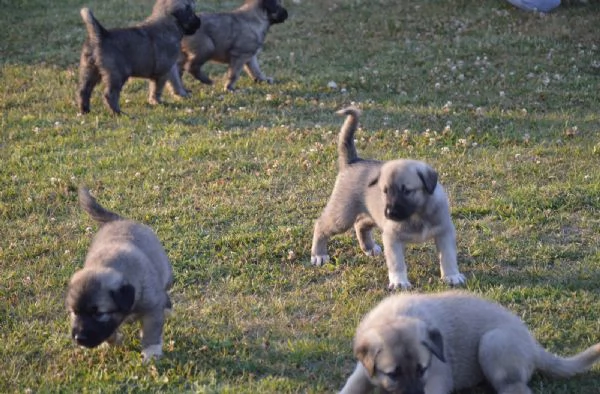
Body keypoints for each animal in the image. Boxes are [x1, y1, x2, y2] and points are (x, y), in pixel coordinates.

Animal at [66, 186, 173, 362]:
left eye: (98, 313)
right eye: (75, 312)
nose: (79, 338)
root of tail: (118, 221)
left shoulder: (151, 309)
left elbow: (151, 332)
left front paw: (151, 352)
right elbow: (109, 333)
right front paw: (113, 341)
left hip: (166, 274)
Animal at [312, 107, 466, 290]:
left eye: (406, 191)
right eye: (385, 191)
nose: (390, 213)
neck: (417, 214)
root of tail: (353, 161)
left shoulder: (444, 232)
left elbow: (448, 257)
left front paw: (452, 276)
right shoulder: (392, 237)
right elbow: (396, 263)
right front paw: (399, 281)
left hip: (372, 215)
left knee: (360, 224)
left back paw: (369, 248)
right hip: (342, 216)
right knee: (321, 225)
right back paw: (319, 255)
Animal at [340, 290, 600, 394]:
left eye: (422, 370)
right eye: (393, 374)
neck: (395, 316)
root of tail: (533, 345)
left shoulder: (436, 379)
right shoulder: (362, 372)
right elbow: (349, 388)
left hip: (493, 343)